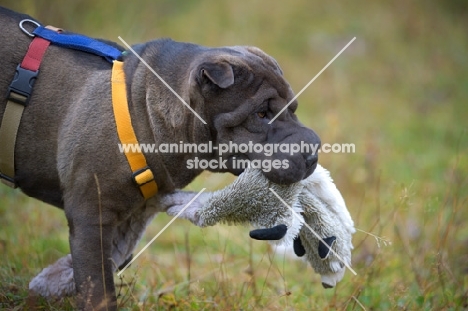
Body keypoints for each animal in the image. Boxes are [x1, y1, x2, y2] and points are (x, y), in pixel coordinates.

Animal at [0, 6, 320, 310]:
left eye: (293, 108)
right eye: (262, 114)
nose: (314, 149)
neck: (143, 109)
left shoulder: (129, 218)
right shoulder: (91, 216)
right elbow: (98, 288)